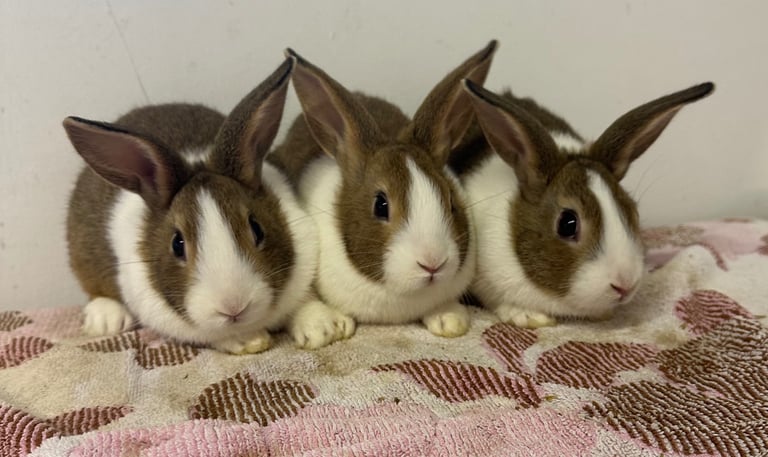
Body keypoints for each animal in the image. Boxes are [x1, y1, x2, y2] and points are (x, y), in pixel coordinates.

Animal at [65, 57, 319, 354]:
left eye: (257, 229)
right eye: (177, 244)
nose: (233, 307)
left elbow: (305, 302)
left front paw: (324, 327)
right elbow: (216, 336)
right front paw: (249, 340)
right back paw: (105, 320)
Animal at [269, 41, 498, 349]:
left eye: (452, 201)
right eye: (380, 205)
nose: (432, 263)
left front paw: (451, 318)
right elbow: (301, 296)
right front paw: (324, 329)